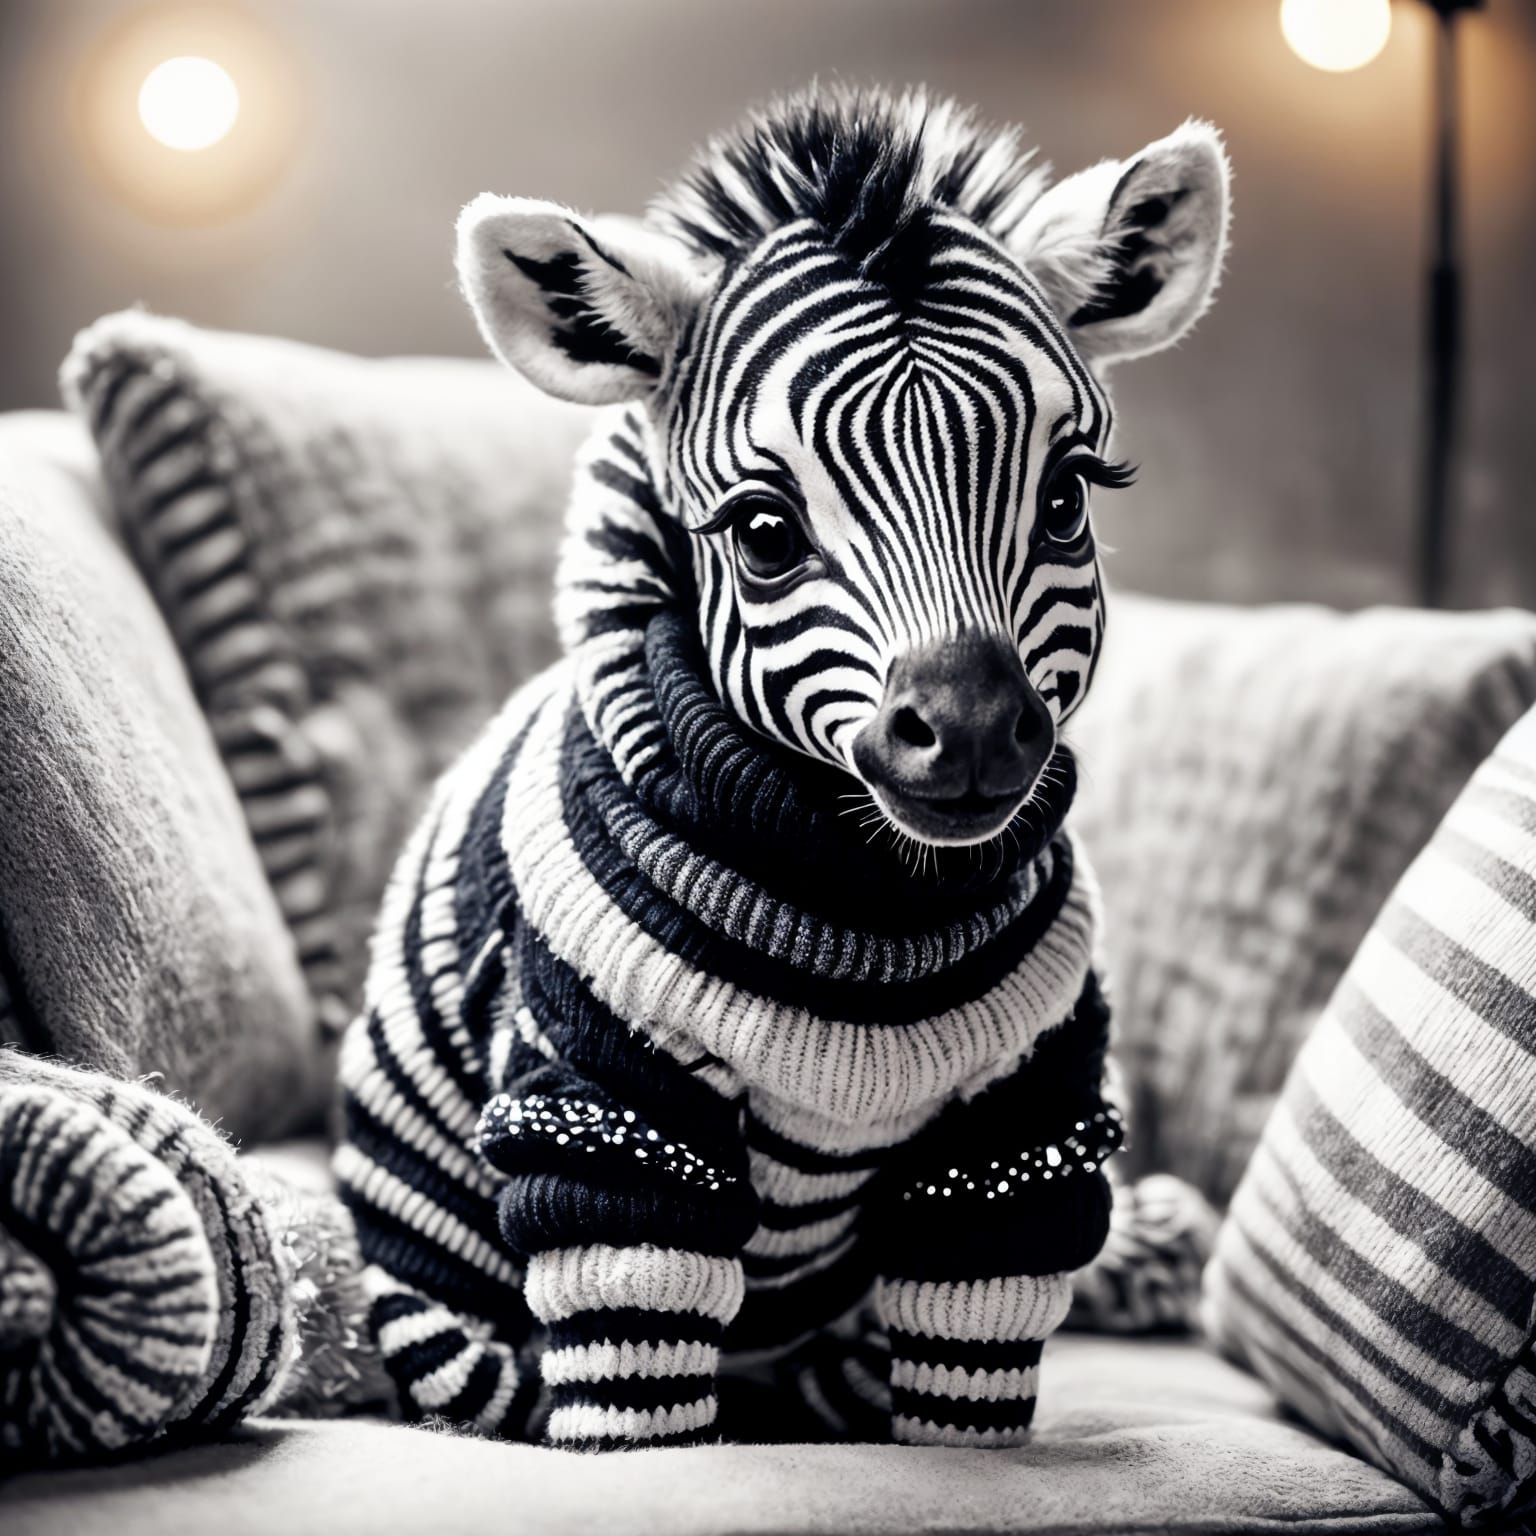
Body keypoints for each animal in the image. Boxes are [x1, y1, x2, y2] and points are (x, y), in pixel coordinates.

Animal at [335, 85, 1229, 1450]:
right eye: (762, 533)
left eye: (1069, 499)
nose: (975, 729)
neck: (867, 909)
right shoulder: (604, 1108)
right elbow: (635, 1384)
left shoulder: (1022, 1124)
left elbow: (974, 1377)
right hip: (447, 1305)